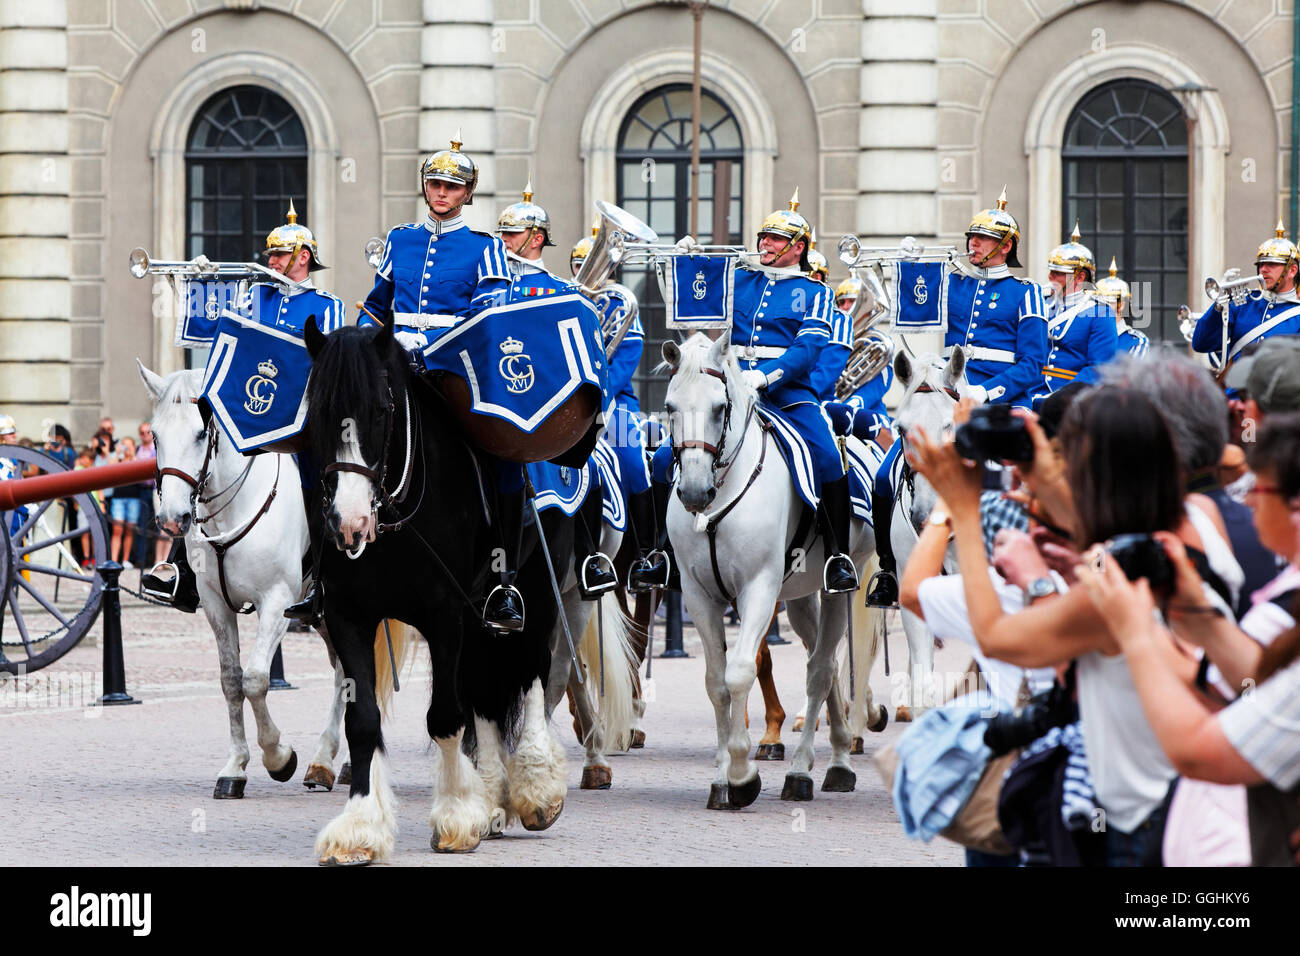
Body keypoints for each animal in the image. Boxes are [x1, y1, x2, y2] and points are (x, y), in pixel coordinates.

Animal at [139, 361, 348, 796]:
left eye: (201, 433)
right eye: (154, 434)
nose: (172, 519)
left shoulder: (277, 603)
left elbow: (255, 679)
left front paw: (279, 757)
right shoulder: (216, 605)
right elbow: (231, 680)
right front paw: (235, 767)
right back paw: (326, 762)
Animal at [304, 317, 574, 863]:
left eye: (380, 410)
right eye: (318, 412)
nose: (348, 523)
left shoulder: (444, 612)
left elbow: (446, 716)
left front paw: (455, 816)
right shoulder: (349, 615)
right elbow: (363, 719)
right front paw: (359, 826)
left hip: (535, 586)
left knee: (532, 671)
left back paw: (536, 788)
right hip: (478, 616)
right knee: (485, 694)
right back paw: (491, 796)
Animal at [665, 332, 878, 806]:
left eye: (718, 408)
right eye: (670, 407)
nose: (694, 493)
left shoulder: (757, 588)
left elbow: (741, 670)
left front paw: (743, 775)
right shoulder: (699, 595)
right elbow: (716, 681)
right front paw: (722, 779)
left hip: (839, 586)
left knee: (820, 670)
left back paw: (808, 770)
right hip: (798, 597)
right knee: (823, 663)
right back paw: (836, 757)